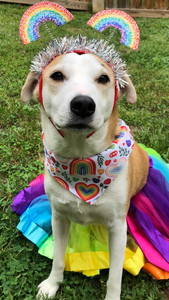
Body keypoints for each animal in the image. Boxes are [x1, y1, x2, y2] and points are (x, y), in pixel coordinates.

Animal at [21, 52, 149, 300]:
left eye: (103, 78)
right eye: (57, 75)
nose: (83, 104)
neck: (80, 160)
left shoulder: (118, 228)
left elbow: (115, 276)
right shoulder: (59, 218)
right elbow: (58, 258)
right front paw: (52, 284)